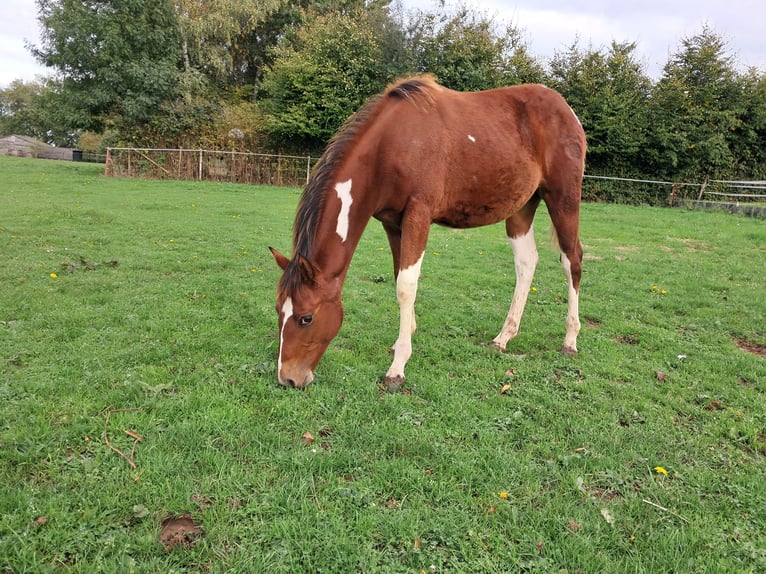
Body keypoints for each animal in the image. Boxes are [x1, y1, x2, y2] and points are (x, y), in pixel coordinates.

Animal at [270, 75, 586, 390]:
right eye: (278, 310)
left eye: (306, 318)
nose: (288, 378)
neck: (389, 147)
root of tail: (566, 109)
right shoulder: (392, 223)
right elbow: (398, 276)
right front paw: (402, 340)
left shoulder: (418, 216)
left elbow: (406, 286)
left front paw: (397, 367)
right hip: (520, 210)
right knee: (526, 263)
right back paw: (503, 337)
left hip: (563, 200)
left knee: (572, 260)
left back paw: (570, 340)